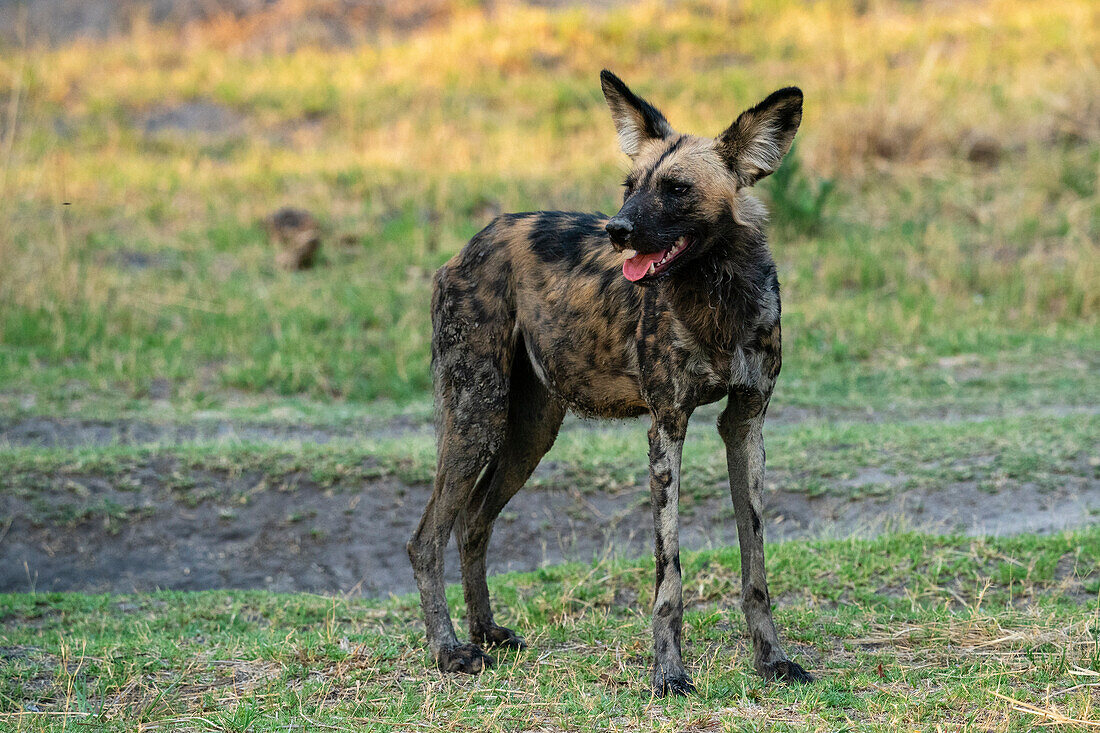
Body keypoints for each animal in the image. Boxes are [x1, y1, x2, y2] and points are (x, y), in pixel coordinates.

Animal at [409, 71, 814, 695]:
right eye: (629, 186)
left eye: (676, 189)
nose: (617, 229)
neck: (717, 295)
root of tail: (472, 242)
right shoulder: (667, 428)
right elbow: (669, 578)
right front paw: (669, 674)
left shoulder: (745, 423)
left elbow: (756, 566)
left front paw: (771, 660)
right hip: (478, 417)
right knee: (427, 538)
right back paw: (450, 651)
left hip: (528, 434)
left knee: (473, 522)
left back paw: (487, 632)